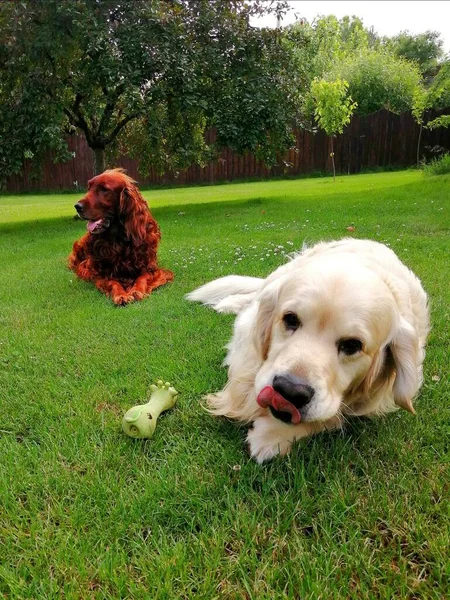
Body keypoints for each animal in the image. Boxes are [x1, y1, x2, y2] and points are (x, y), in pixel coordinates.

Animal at [186, 239, 428, 464]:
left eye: (352, 345)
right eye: (290, 319)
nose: (290, 391)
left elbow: (331, 416)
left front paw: (271, 435)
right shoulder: (246, 337)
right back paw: (228, 302)